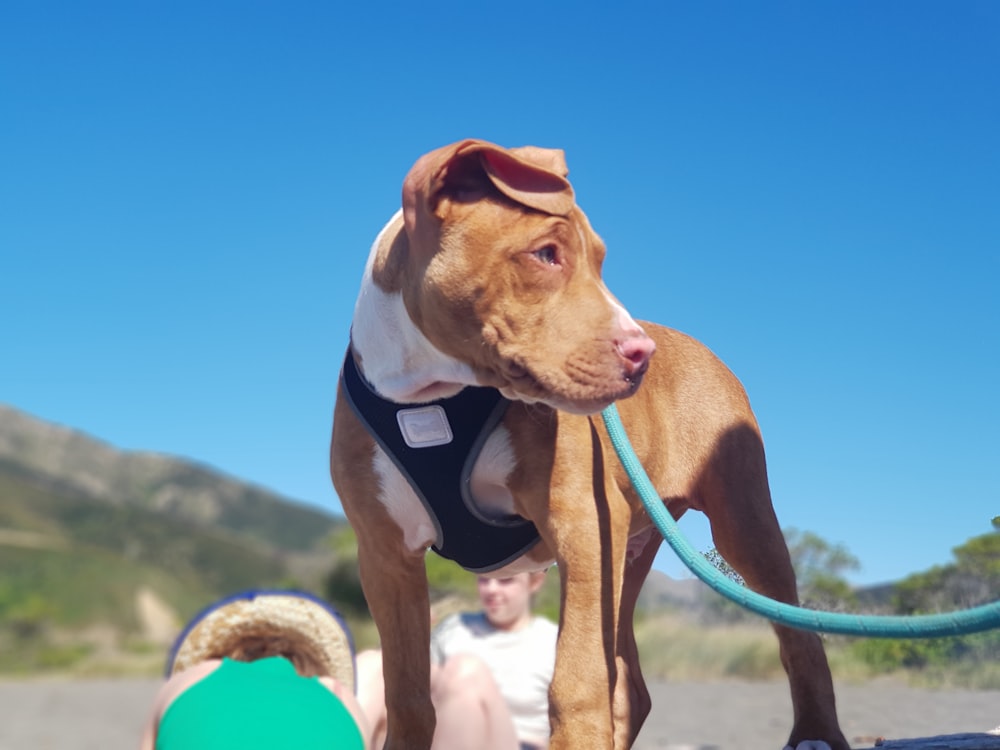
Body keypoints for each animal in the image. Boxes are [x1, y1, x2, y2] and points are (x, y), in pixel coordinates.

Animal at [332, 138, 848, 748]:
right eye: (546, 254)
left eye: (598, 260)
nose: (641, 355)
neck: (431, 396)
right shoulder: (386, 557)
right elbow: (409, 694)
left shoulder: (581, 523)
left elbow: (576, 683)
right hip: (627, 552)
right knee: (630, 682)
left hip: (741, 524)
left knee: (800, 635)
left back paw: (816, 732)